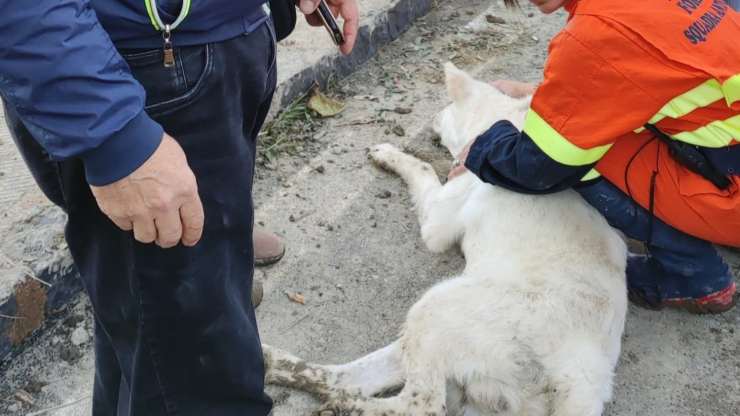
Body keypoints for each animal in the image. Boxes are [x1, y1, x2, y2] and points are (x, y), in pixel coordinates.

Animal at [264, 62, 628, 416]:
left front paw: (393, 155)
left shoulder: (438, 220)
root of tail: (579, 378)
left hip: (437, 308)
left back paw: (348, 405)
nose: (432, 118)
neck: (506, 122)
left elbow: (424, 169)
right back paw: (281, 366)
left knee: (422, 404)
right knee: (354, 377)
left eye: (447, 106)